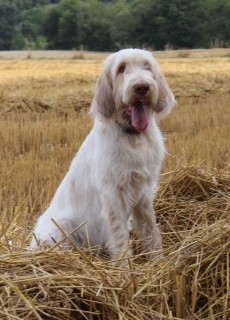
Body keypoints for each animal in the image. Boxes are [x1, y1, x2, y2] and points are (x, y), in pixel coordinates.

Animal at [30, 48, 174, 262]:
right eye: (121, 68)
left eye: (147, 66)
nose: (142, 87)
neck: (132, 136)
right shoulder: (113, 197)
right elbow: (120, 238)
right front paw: (125, 268)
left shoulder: (144, 194)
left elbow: (151, 231)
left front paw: (157, 261)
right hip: (60, 227)